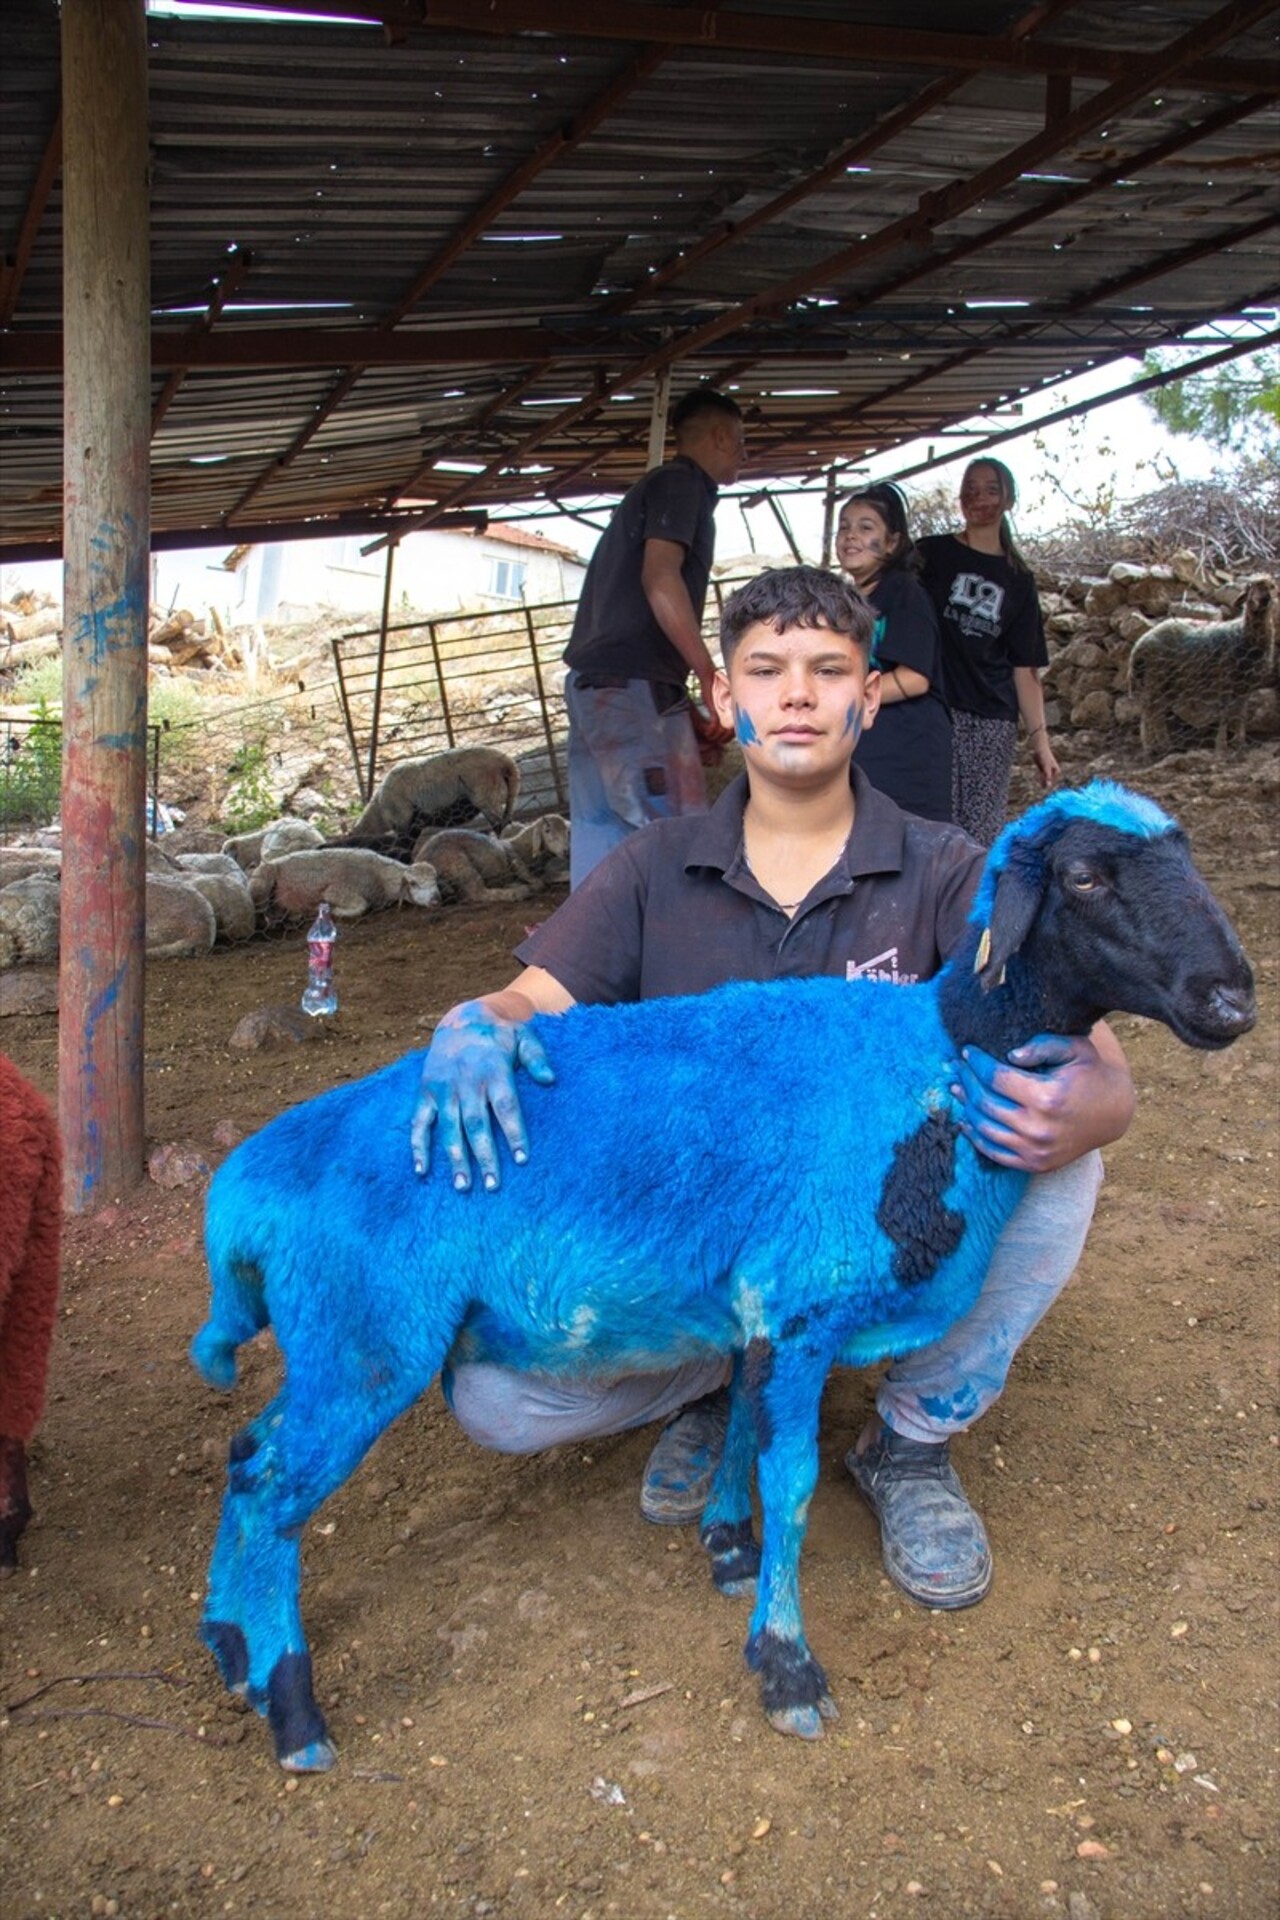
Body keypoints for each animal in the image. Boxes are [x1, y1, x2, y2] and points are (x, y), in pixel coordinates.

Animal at [192, 779, 1258, 1766]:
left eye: (1186, 855)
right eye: (1084, 878)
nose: (1232, 1001)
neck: (934, 1060)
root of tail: (244, 1192)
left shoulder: (760, 1309)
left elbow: (744, 1421)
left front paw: (726, 1543)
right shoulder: (802, 1304)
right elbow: (791, 1477)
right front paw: (786, 1666)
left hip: (339, 1339)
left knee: (246, 1454)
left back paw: (230, 1650)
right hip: (367, 1337)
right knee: (275, 1490)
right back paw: (293, 1712)